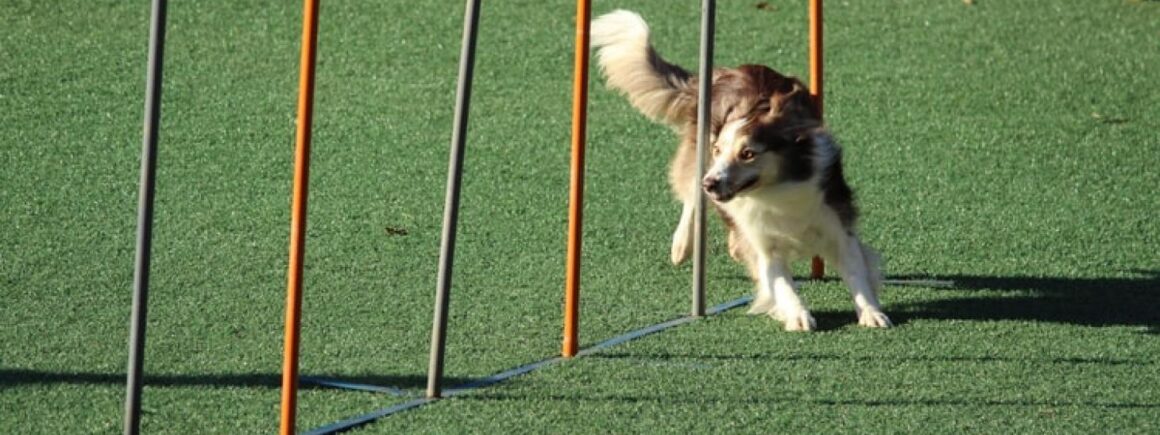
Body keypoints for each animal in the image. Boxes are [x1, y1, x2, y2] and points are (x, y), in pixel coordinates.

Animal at [593, 9, 890, 329]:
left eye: (748, 154)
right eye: (718, 150)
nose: (711, 183)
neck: (776, 191)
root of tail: (724, 72)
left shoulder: (836, 223)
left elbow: (856, 271)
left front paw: (871, 312)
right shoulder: (763, 243)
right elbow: (781, 284)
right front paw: (798, 315)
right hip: (697, 154)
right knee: (690, 194)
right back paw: (682, 245)